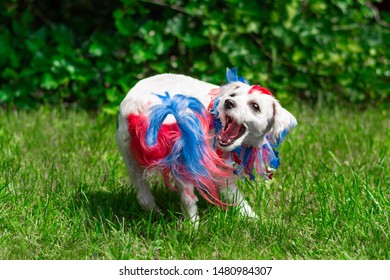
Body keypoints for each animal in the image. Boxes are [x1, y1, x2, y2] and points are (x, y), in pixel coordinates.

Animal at [115, 68, 296, 223]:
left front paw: (252, 218)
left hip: (130, 158)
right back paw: (192, 226)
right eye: (233, 95)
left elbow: (234, 194)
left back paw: (155, 213)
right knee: (187, 198)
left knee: (143, 196)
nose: (228, 102)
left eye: (255, 106)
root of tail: (138, 106)